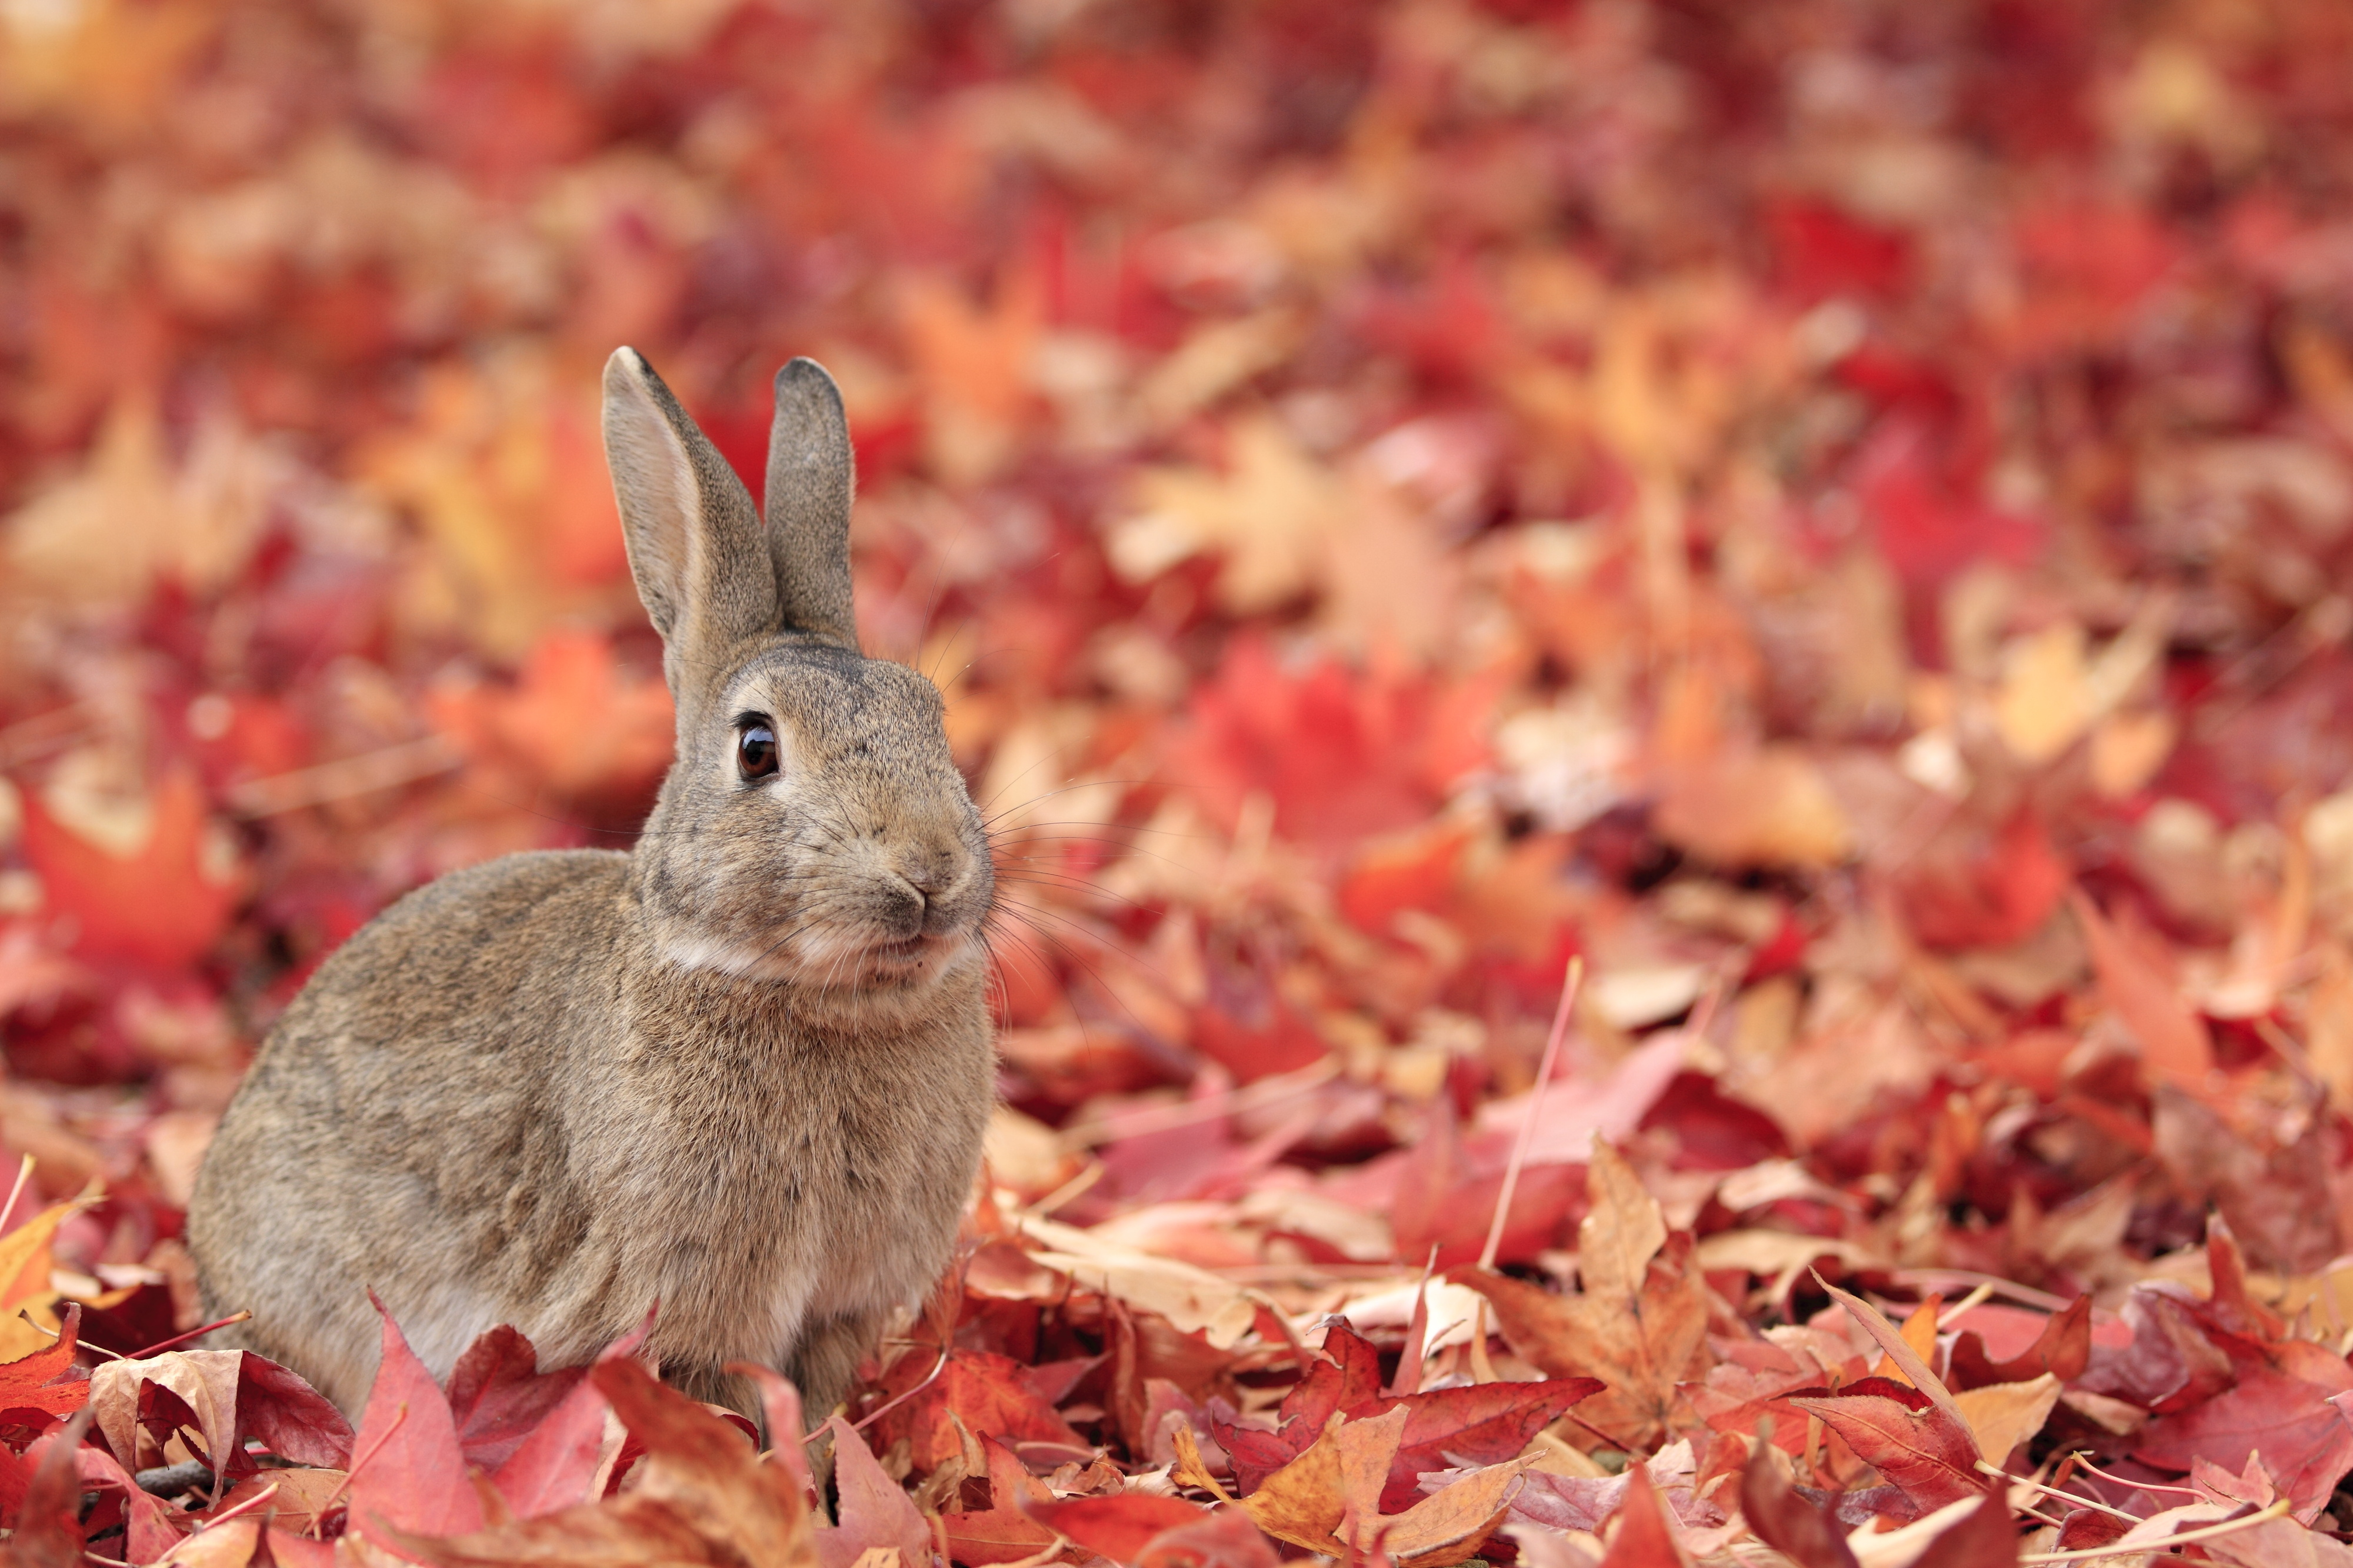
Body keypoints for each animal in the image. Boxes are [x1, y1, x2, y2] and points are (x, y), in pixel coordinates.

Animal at [186, 348, 993, 1422]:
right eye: (758, 747)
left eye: (932, 716)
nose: (931, 871)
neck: (820, 997)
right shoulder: (695, 1311)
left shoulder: (841, 1312)